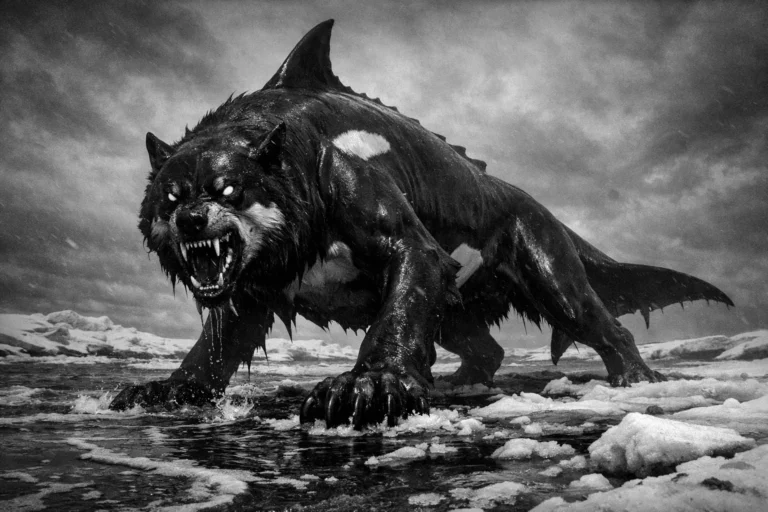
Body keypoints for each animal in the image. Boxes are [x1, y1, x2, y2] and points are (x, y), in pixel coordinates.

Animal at [110, 20, 733, 428]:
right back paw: (466, 382)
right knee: (485, 346)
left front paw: (368, 384)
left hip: (545, 260)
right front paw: (168, 390)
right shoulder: (253, 287)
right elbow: (215, 346)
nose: (192, 220)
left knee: (598, 321)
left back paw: (636, 379)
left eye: (228, 191)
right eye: (169, 198)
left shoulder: (367, 198)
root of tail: (533, 200)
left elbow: (409, 263)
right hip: (457, 305)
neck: (284, 146)